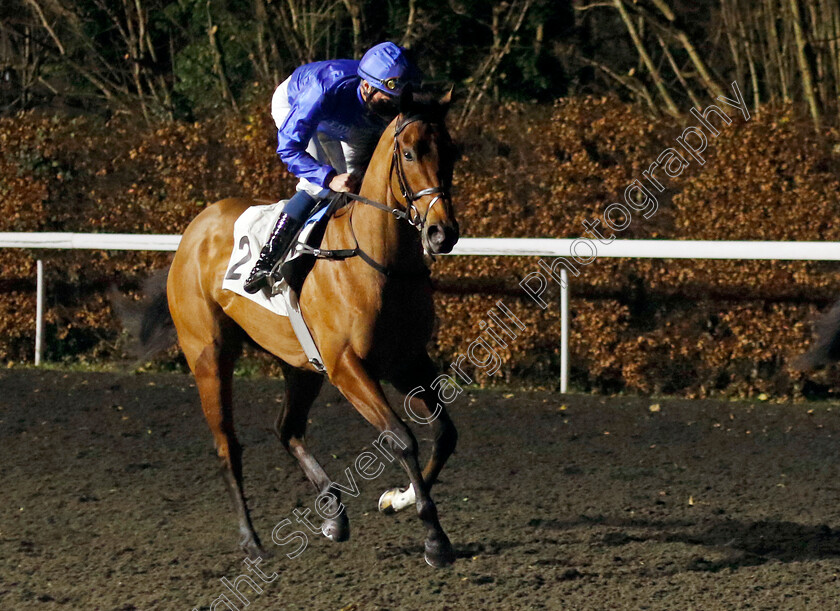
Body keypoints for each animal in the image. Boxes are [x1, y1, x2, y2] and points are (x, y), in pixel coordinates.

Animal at [166, 92, 460, 568]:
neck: (378, 262)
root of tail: (196, 227)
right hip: (208, 355)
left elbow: (445, 434)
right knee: (228, 445)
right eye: (410, 153)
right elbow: (400, 438)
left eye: (452, 152)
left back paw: (333, 515)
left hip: (299, 364)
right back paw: (251, 540)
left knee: (287, 429)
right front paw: (434, 536)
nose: (441, 233)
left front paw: (396, 499)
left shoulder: (407, 361)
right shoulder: (347, 367)